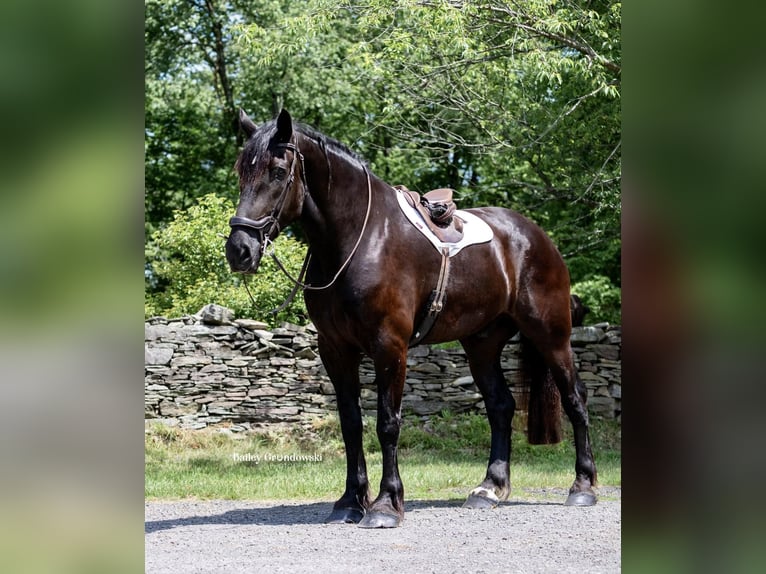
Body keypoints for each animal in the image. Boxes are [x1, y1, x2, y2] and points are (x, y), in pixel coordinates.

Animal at [225, 110, 596, 528]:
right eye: (241, 171)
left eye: (277, 171)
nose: (239, 250)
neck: (360, 240)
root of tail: (536, 237)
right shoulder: (335, 348)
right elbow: (351, 424)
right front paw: (350, 501)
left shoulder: (390, 346)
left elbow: (388, 422)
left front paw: (386, 504)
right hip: (482, 343)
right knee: (500, 405)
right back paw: (489, 488)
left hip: (551, 335)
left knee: (575, 397)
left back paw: (582, 486)